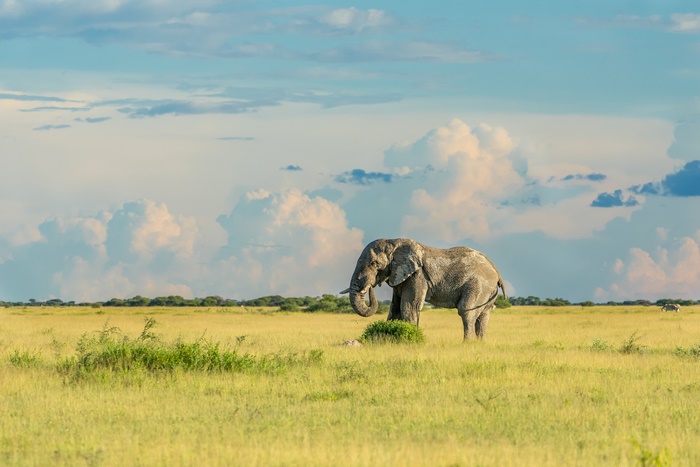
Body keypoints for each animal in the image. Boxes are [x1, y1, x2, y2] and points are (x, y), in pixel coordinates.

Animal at [340, 238, 506, 341]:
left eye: (374, 264)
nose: (370, 287)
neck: (393, 242)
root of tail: (495, 270)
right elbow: (395, 308)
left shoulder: (418, 275)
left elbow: (409, 307)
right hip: (488, 291)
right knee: (483, 316)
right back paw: (481, 343)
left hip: (479, 285)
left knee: (466, 311)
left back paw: (467, 343)